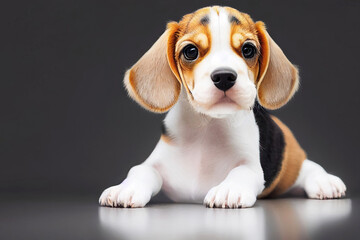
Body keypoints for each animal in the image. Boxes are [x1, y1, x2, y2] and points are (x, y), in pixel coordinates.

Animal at [98, 6, 346, 208]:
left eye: (248, 49)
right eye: (190, 51)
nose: (225, 76)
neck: (206, 129)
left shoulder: (252, 166)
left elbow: (242, 170)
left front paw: (228, 190)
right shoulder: (155, 162)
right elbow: (139, 170)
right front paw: (125, 188)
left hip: (292, 160)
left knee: (307, 166)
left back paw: (325, 182)